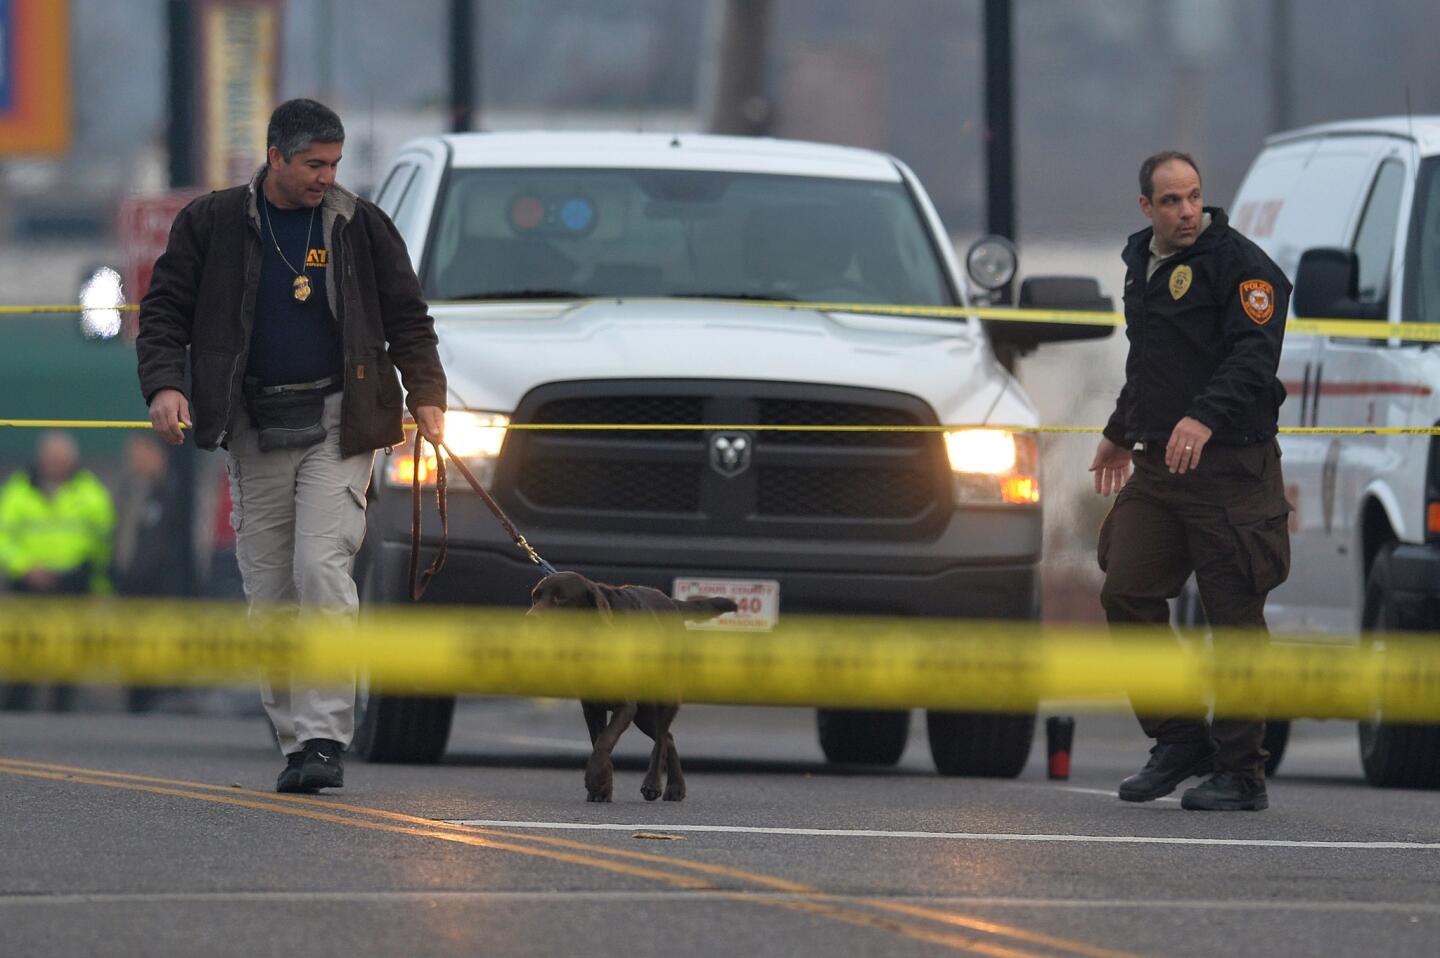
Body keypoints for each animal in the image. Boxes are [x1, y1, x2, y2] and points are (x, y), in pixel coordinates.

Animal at [529, 570, 737, 800]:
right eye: (535, 597)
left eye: (560, 598)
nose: (529, 618)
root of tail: (671, 602)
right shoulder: (592, 707)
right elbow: (598, 741)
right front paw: (602, 789)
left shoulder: (625, 705)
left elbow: (605, 741)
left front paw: (594, 779)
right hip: (643, 713)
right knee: (668, 738)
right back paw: (676, 787)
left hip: (665, 696)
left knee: (661, 739)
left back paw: (654, 784)